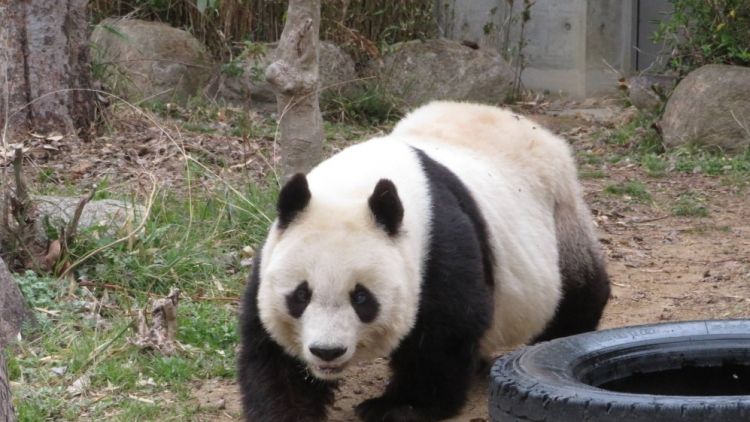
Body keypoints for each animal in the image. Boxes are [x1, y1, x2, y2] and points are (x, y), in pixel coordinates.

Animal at [237, 101, 610, 422]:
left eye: (362, 298)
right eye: (301, 295)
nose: (327, 352)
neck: (354, 187)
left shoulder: (437, 243)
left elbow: (443, 332)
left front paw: (398, 407)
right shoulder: (273, 253)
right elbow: (271, 350)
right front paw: (288, 410)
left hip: (561, 215)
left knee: (578, 290)